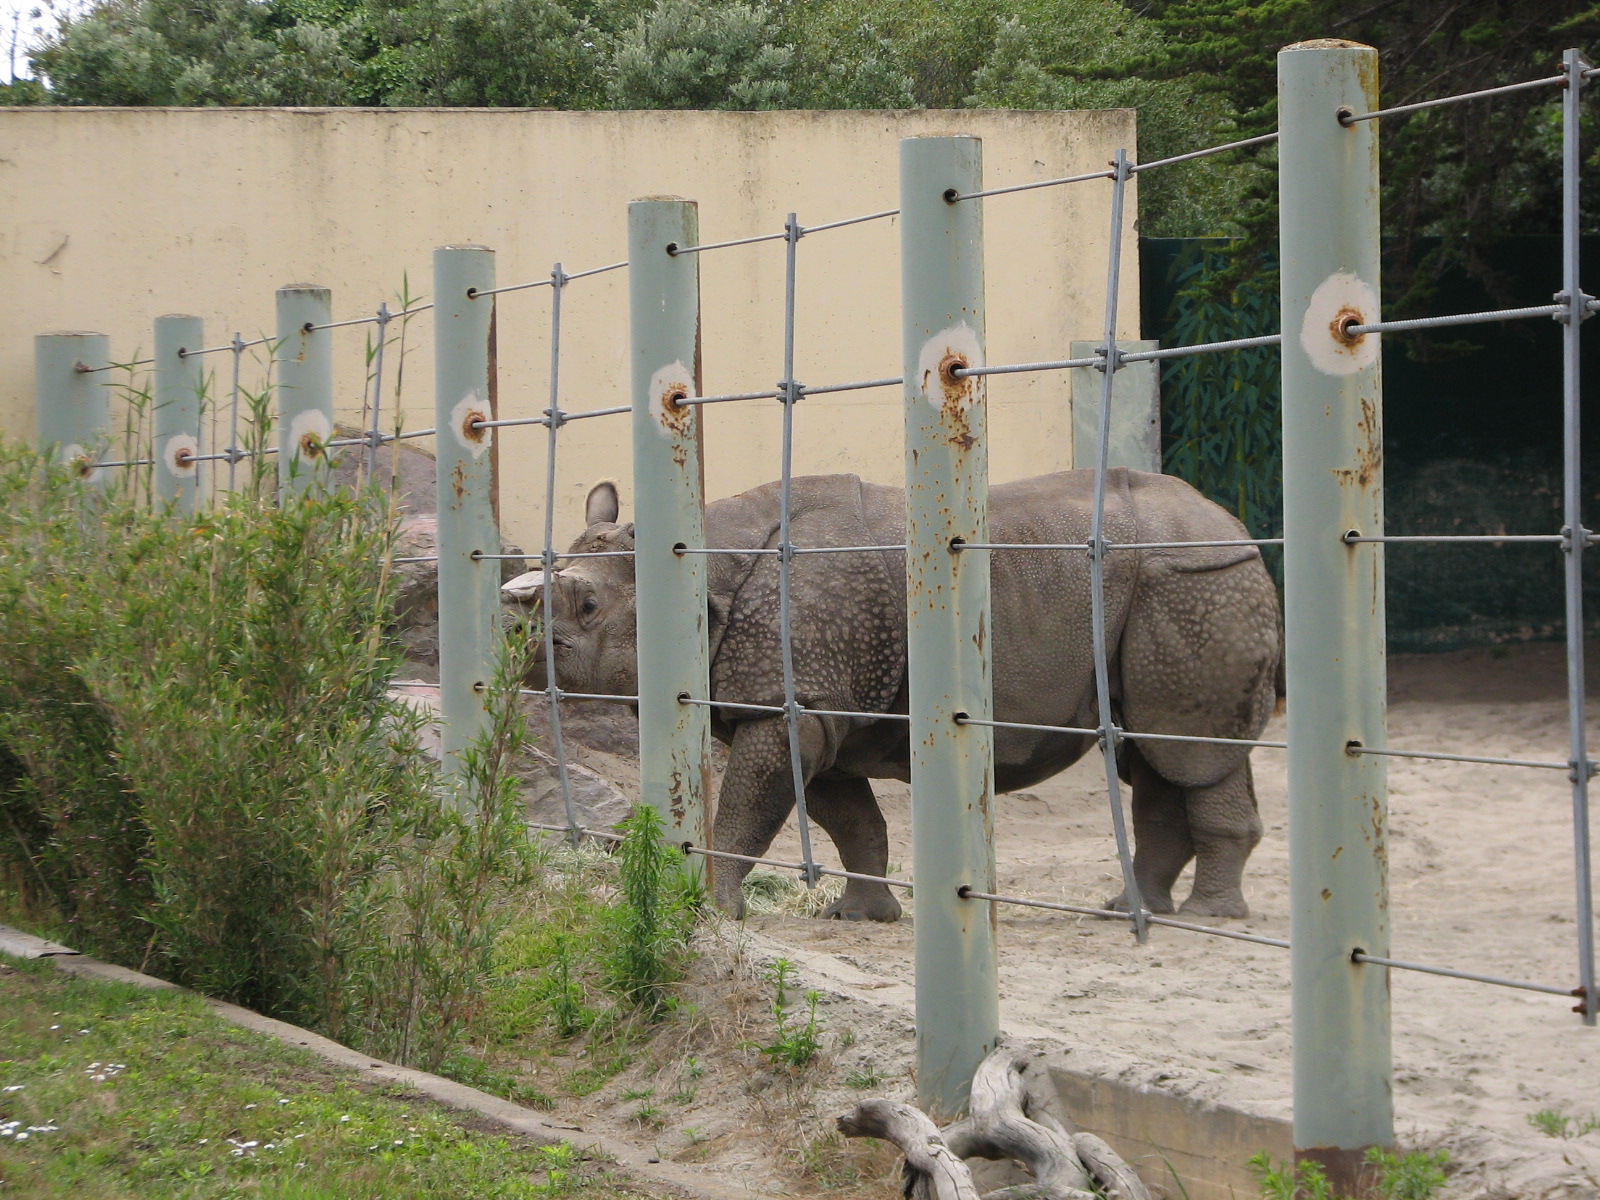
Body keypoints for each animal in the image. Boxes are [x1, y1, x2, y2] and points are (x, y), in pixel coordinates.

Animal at [504, 470, 1281, 923]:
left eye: (587, 606)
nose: (513, 647)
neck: (701, 568)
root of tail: (1232, 520)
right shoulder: (817, 710)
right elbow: (851, 820)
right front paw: (863, 915)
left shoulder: (793, 703)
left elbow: (749, 813)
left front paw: (714, 911)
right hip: (1169, 585)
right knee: (1148, 752)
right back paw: (1129, 909)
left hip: (1197, 580)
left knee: (1186, 751)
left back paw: (1207, 919)